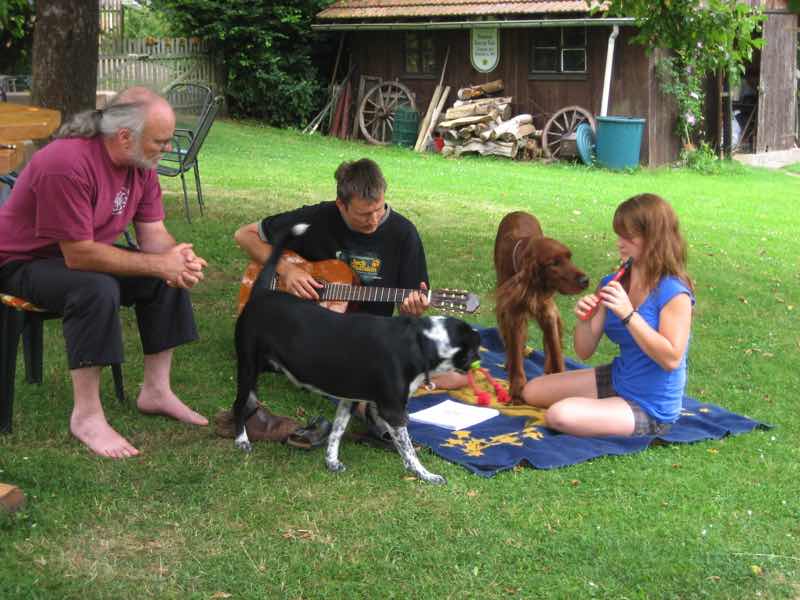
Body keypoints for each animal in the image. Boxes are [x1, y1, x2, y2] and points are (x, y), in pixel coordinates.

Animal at [231, 223, 482, 486]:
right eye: (475, 346)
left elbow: (337, 432)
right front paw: (426, 475)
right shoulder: (393, 411)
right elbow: (408, 451)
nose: (481, 355)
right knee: (239, 404)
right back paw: (242, 440)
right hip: (248, 366)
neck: (420, 341)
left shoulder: (349, 398)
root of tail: (261, 293)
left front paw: (331, 462)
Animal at [494, 211, 588, 404]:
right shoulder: (513, 313)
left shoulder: (547, 311)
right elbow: (515, 349)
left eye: (569, 257)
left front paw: (558, 378)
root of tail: (518, 212)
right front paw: (517, 388)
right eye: (554, 263)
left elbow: (554, 348)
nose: (585, 281)